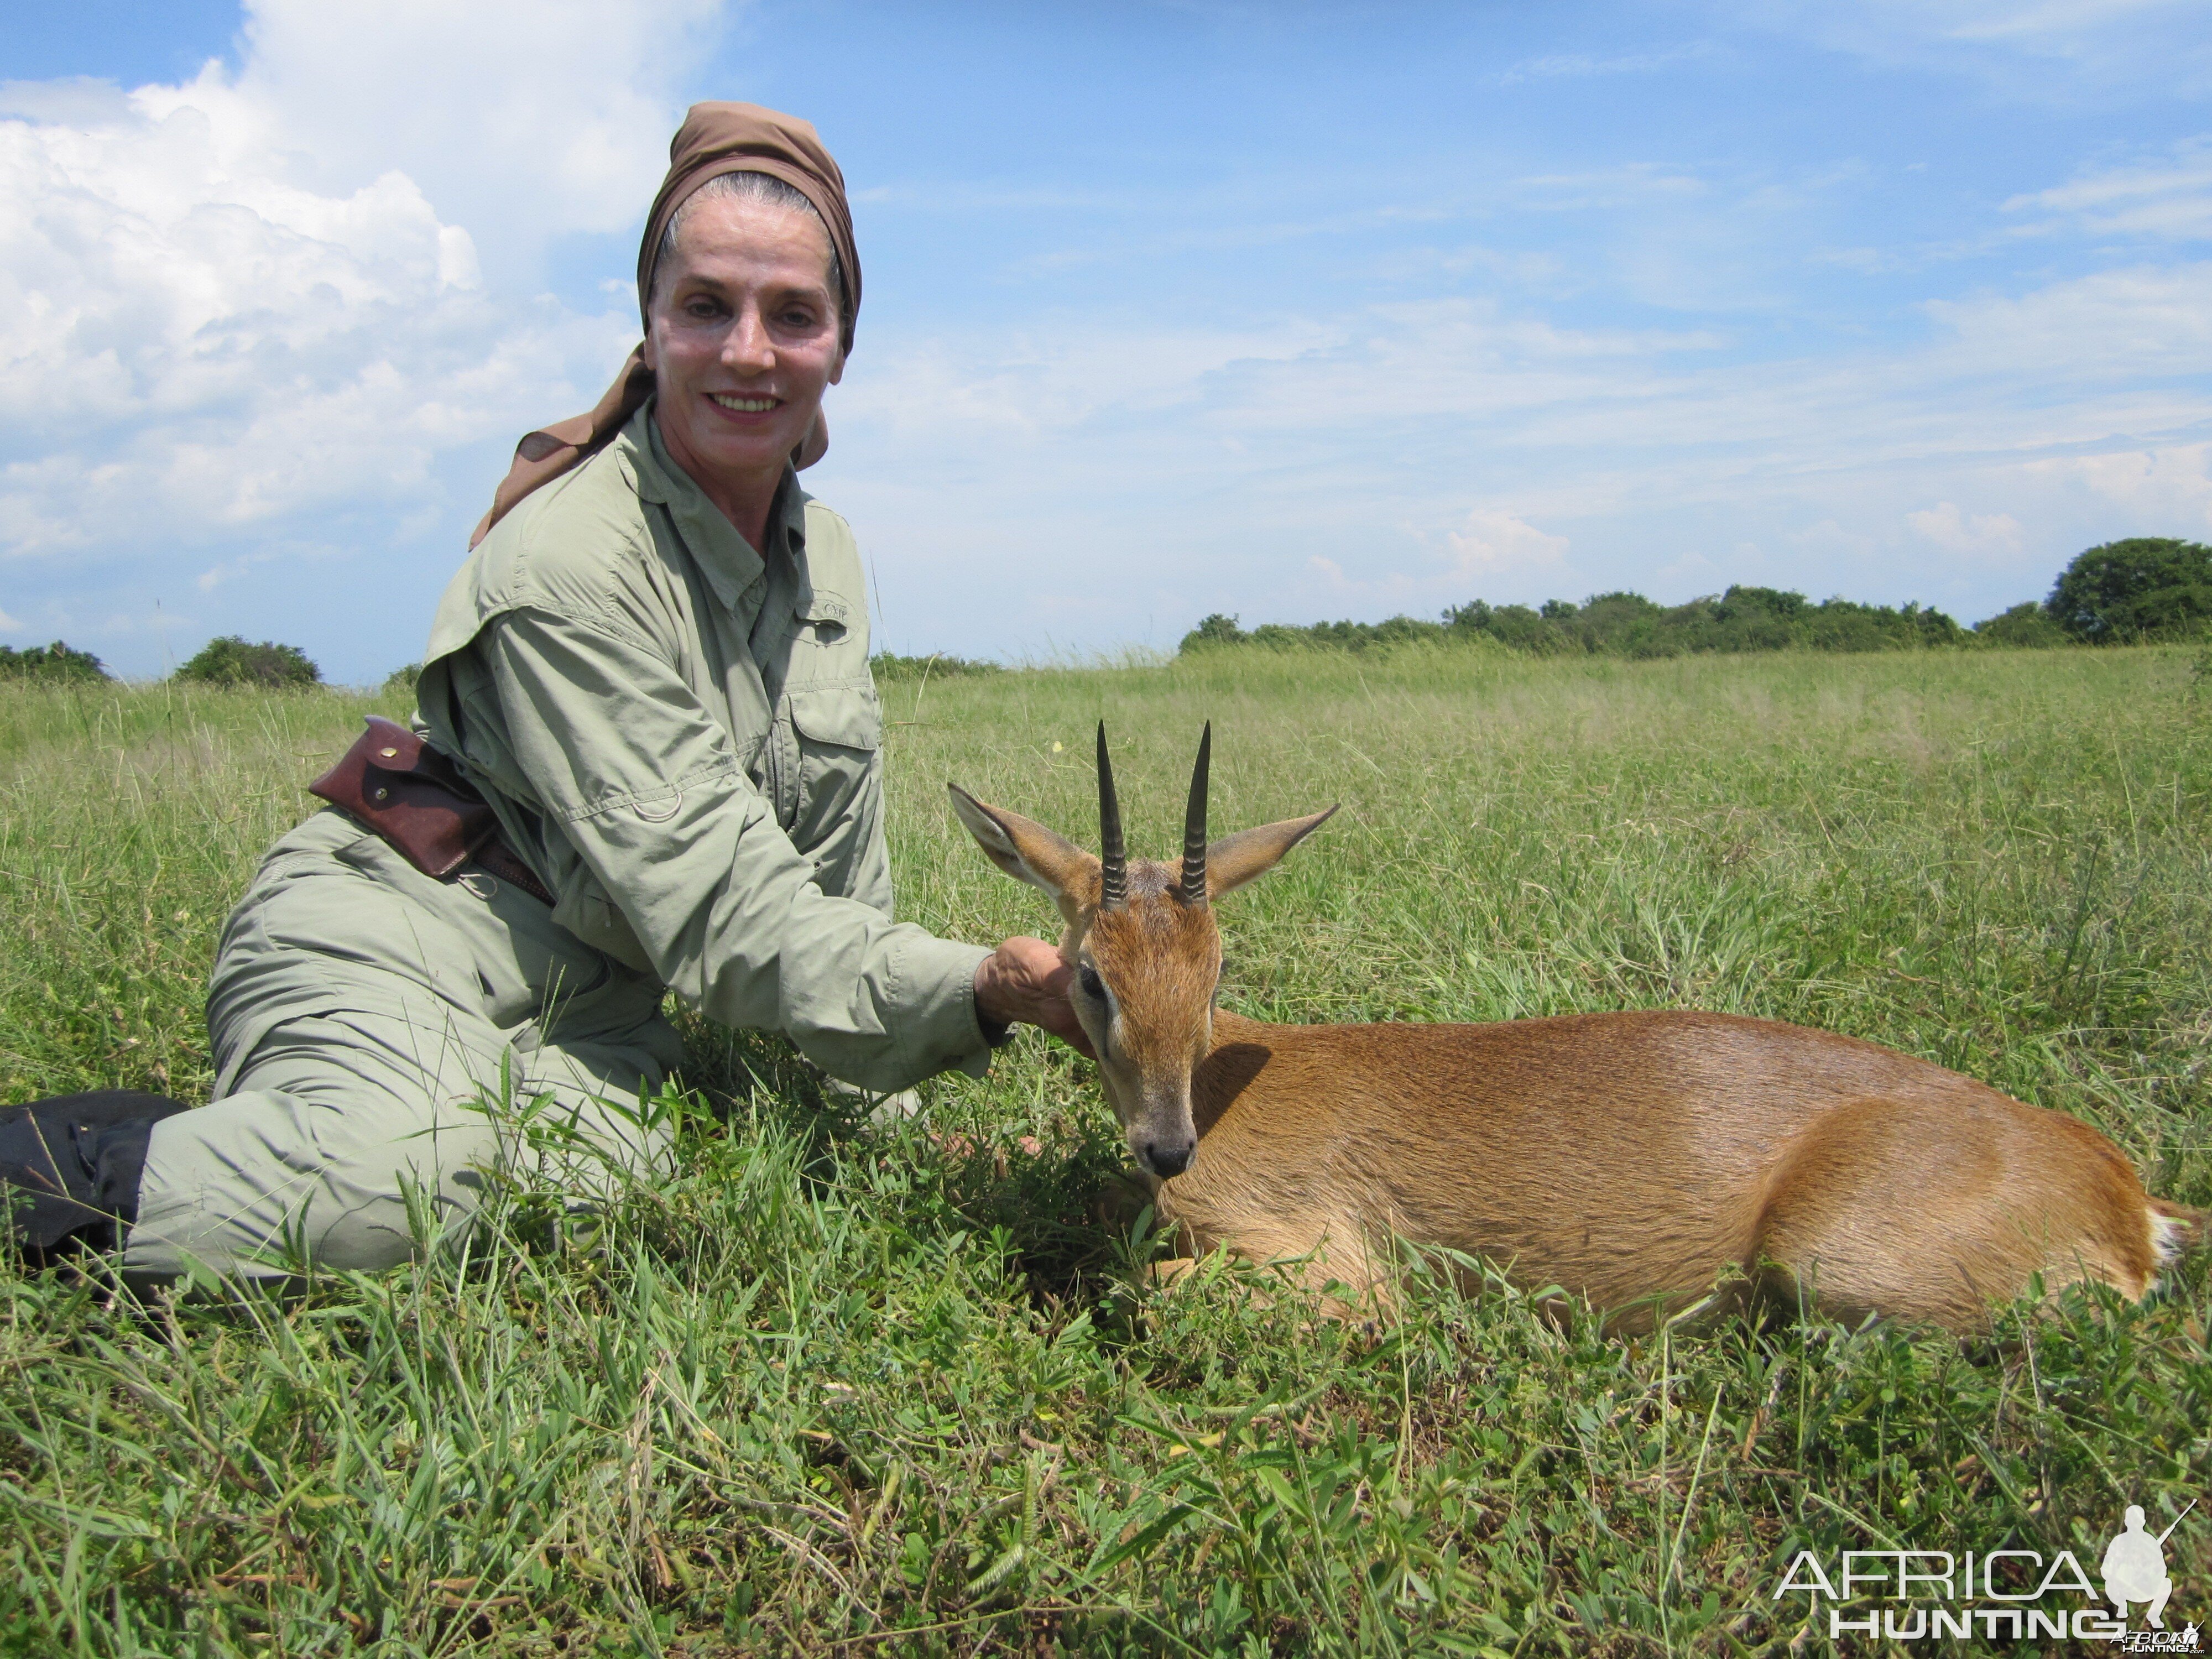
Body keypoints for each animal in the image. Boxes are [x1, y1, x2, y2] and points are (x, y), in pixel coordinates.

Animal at [947, 726, 2194, 1336]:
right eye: (1093, 975)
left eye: (1218, 970)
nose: (1168, 1148)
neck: (1233, 1086)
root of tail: (2120, 1189)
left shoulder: (1329, 1272)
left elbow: (1143, 1293)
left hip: (1839, 1266)